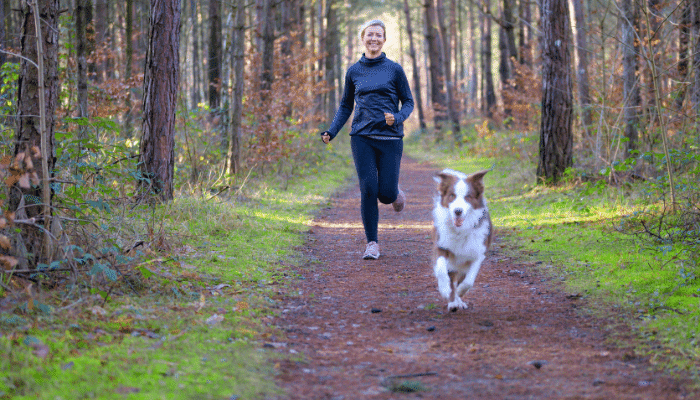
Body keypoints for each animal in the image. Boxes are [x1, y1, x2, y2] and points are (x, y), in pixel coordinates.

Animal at [432, 167, 492, 310]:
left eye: (468, 197)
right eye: (452, 195)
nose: (457, 211)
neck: (460, 230)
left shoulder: (477, 254)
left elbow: (468, 281)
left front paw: (459, 293)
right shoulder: (441, 246)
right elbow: (441, 270)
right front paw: (445, 291)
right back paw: (453, 302)